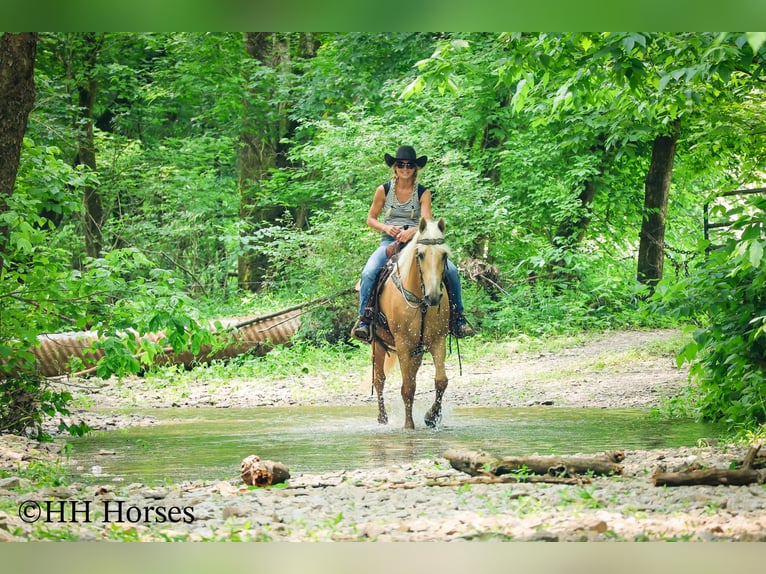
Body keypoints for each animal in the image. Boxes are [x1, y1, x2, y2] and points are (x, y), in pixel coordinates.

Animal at [371, 217, 452, 429]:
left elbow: (441, 381)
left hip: (417, 351)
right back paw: (382, 419)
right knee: (379, 380)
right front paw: (409, 426)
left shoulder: (438, 340)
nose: (434, 296)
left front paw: (431, 417)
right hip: (378, 343)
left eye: (444, 255)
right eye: (421, 254)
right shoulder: (402, 344)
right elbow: (407, 387)